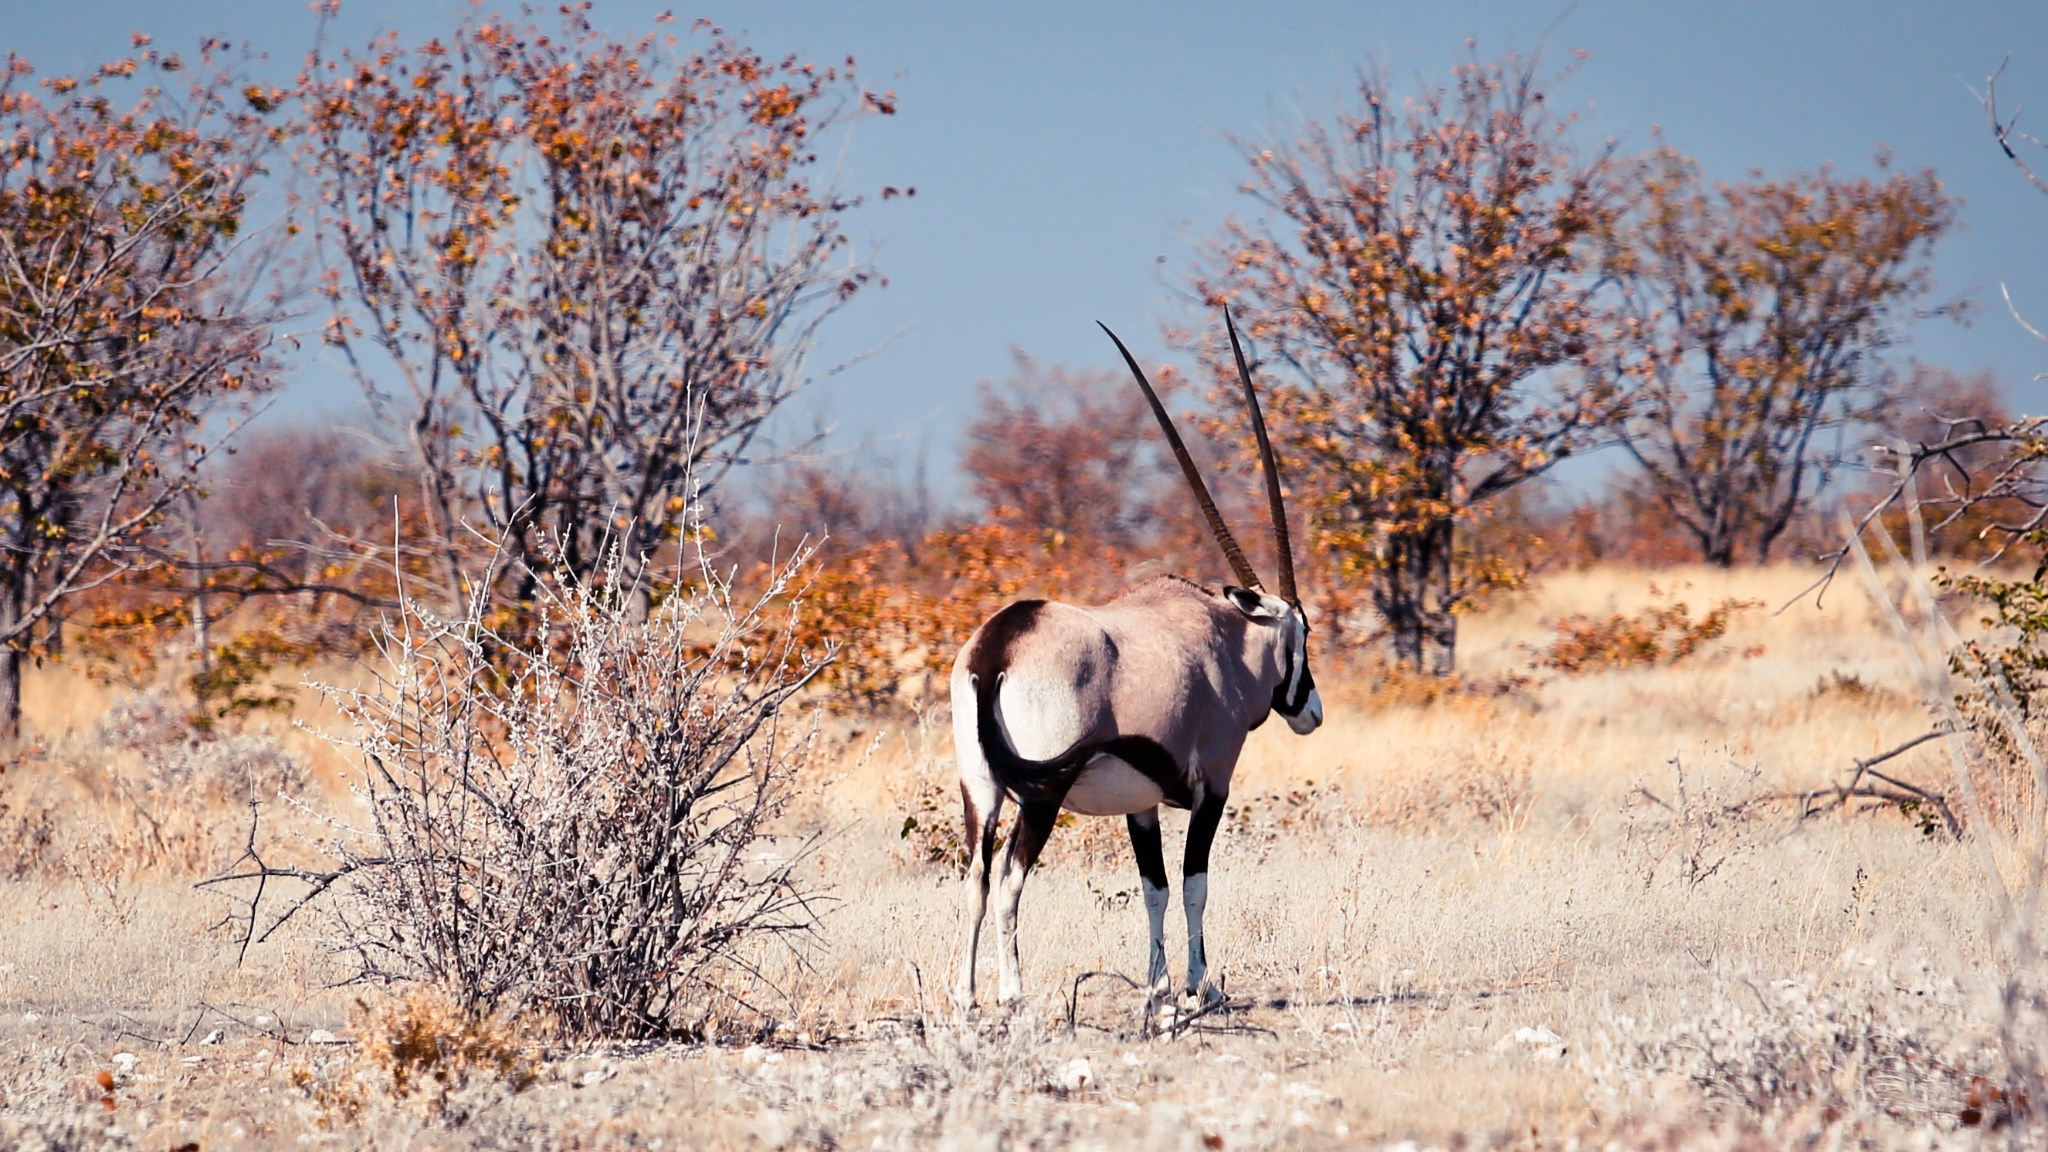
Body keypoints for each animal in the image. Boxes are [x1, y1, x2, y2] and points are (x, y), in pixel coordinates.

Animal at [950, 309, 1318, 1008]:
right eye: (1303, 635)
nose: (1311, 710)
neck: (1223, 641)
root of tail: (999, 644)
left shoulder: (1139, 805)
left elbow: (1154, 889)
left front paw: (1158, 985)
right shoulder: (1213, 783)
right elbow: (1195, 882)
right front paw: (1200, 986)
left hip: (980, 789)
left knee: (977, 882)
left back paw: (966, 997)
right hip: (1042, 794)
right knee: (1009, 880)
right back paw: (1013, 994)